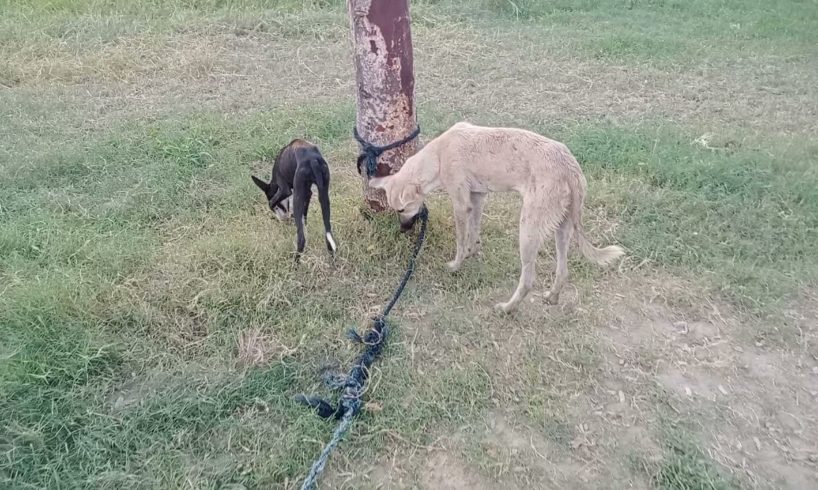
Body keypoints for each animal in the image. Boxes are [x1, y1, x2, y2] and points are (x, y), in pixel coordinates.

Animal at [370, 122, 624, 314]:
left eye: (401, 210)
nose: (403, 230)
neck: (438, 155)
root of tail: (569, 166)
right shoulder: (477, 198)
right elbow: (473, 232)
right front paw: (472, 252)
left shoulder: (460, 205)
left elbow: (461, 240)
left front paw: (456, 265)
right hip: (562, 230)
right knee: (562, 271)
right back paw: (552, 297)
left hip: (528, 231)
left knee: (527, 281)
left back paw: (507, 309)